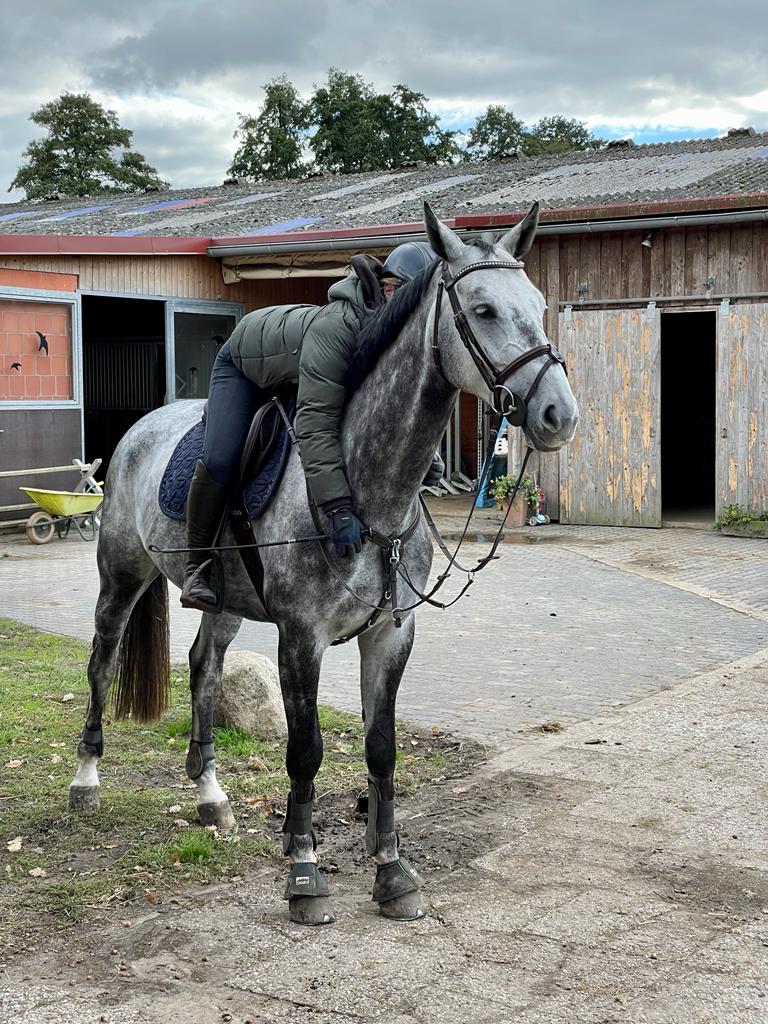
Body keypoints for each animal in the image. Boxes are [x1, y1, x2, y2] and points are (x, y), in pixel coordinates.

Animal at [68, 202, 578, 925]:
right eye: (482, 310)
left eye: (537, 304)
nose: (559, 413)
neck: (370, 490)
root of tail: (144, 425)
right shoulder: (301, 637)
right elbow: (305, 751)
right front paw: (305, 874)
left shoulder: (390, 633)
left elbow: (381, 748)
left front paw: (391, 871)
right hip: (122, 577)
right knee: (102, 661)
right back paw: (85, 781)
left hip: (224, 603)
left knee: (204, 668)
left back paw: (210, 796)